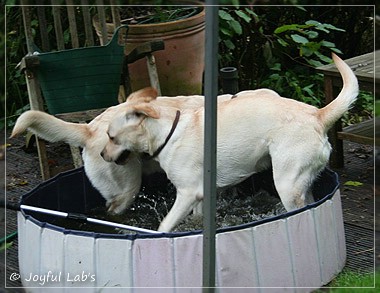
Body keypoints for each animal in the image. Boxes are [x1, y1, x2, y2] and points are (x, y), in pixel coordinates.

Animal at [100, 53, 356, 232]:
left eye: (111, 137)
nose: (102, 154)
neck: (167, 133)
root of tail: (318, 115)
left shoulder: (187, 193)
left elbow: (164, 225)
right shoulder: (201, 197)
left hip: (287, 184)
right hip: (302, 182)